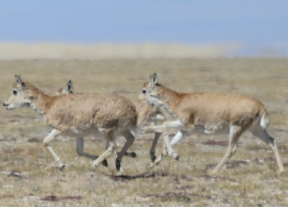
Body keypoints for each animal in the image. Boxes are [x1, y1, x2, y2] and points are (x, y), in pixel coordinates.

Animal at [2, 75, 137, 172]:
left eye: (14, 91)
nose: (5, 104)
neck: (48, 104)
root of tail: (132, 109)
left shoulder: (60, 129)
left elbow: (45, 141)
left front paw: (62, 165)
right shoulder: (79, 135)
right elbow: (79, 151)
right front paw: (104, 162)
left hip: (106, 131)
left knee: (115, 145)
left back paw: (95, 164)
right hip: (120, 131)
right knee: (130, 139)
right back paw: (118, 164)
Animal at [141, 73, 284, 174]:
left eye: (144, 90)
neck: (178, 99)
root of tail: (261, 106)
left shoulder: (186, 125)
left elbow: (164, 126)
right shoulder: (184, 130)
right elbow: (169, 144)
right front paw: (153, 163)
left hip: (236, 129)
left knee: (231, 149)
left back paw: (213, 171)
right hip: (256, 130)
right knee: (272, 141)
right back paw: (281, 170)